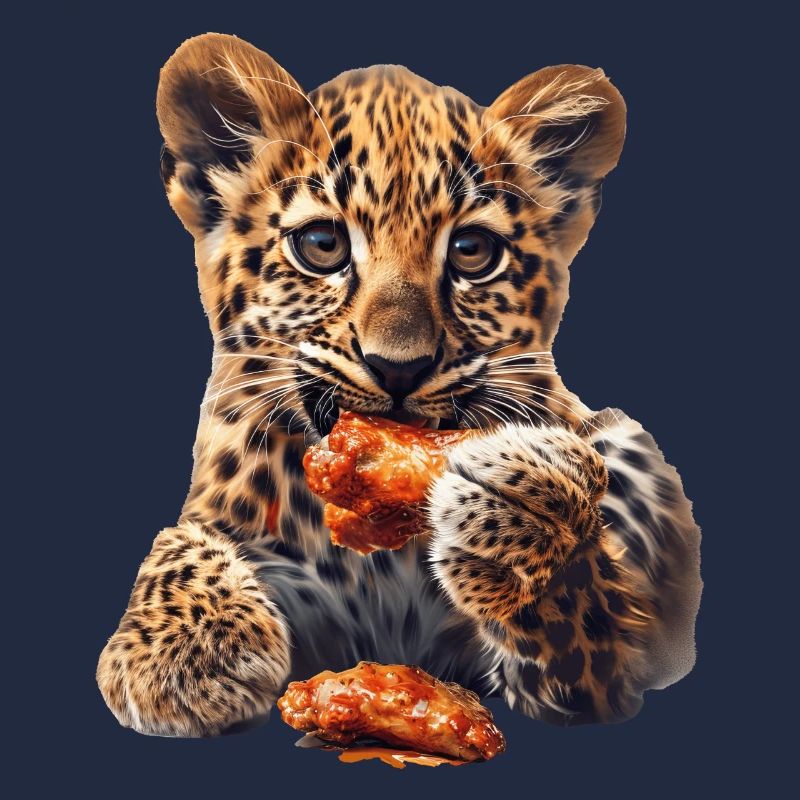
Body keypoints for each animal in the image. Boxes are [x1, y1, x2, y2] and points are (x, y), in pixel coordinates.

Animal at [97, 33, 702, 737]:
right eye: (322, 244)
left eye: (471, 251)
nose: (399, 367)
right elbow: (178, 541)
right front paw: (189, 651)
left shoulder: (595, 671)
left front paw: (529, 520)